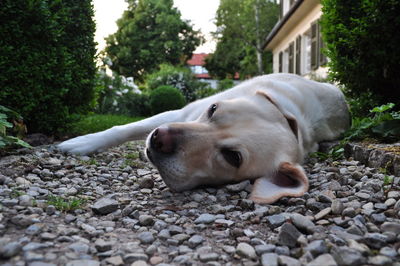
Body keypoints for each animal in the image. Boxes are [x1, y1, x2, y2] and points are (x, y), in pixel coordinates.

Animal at [57, 74, 348, 204]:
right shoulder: (180, 113)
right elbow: (124, 129)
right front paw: (82, 142)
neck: (295, 122)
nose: (159, 139)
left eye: (232, 157)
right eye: (213, 109)